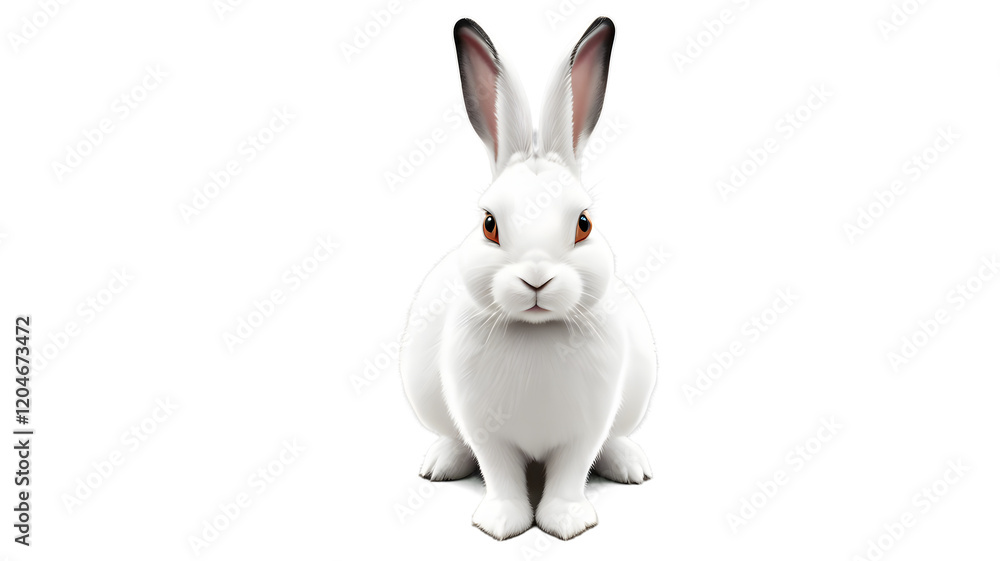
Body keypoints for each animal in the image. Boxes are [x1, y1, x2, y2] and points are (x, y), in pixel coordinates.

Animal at [400, 17, 657, 541]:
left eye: (584, 224)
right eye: (489, 224)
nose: (536, 279)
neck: (536, 334)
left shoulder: (586, 429)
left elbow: (572, 471)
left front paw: (567, 522)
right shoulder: (485, 430)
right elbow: (497, 471)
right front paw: (501, 523)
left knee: (614, 441)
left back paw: (630, 466)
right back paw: (440, 463)